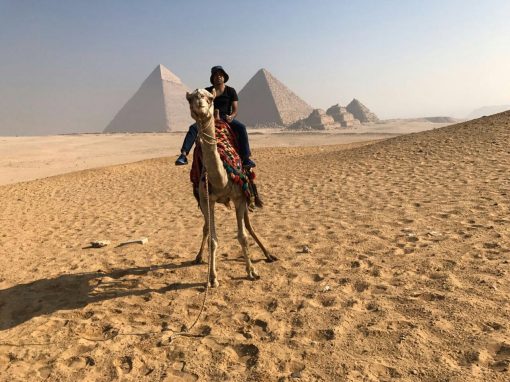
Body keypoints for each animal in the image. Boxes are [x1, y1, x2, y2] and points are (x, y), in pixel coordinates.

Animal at [186, 89, 276, 286]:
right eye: (190, 99)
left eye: (209, 98)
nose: (200, 105)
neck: (222, 179)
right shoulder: (206, 200)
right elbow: (213, 239)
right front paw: (212, 278)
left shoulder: (239, 198)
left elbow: (242, 236)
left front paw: (251, 271)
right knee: (205, 227)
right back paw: (198, 257)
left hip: (247, 192)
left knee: (248, 225)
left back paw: (268, 254)